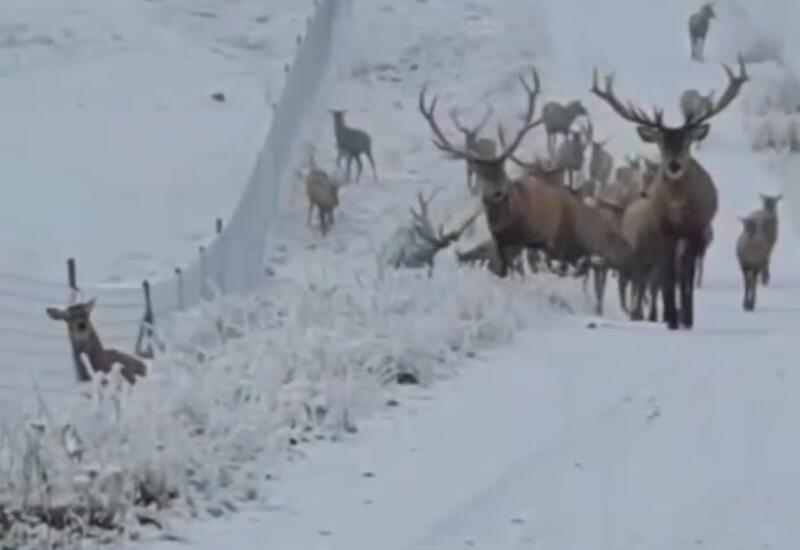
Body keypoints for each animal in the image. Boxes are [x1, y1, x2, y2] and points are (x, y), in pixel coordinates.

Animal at [588, 56, 752, 330]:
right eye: (661, 143)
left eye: (686, 142)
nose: (674, 165)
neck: (678, 209)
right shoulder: (663, 230)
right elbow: (667, 274)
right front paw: (670, 317)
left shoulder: (696, 229)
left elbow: (685, 275)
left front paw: (686, 316)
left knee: (683, 273)